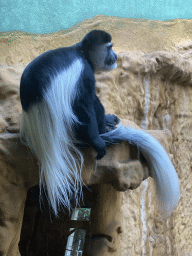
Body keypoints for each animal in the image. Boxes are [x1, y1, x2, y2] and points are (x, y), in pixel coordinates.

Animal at [19, 30, 180, 218]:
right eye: (109, 48)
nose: (115, 56)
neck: (81, 52)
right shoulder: (84, 72)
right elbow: (83, 104)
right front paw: (98, 142)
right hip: (72, 129)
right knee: (89, 104)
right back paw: (103, 130)